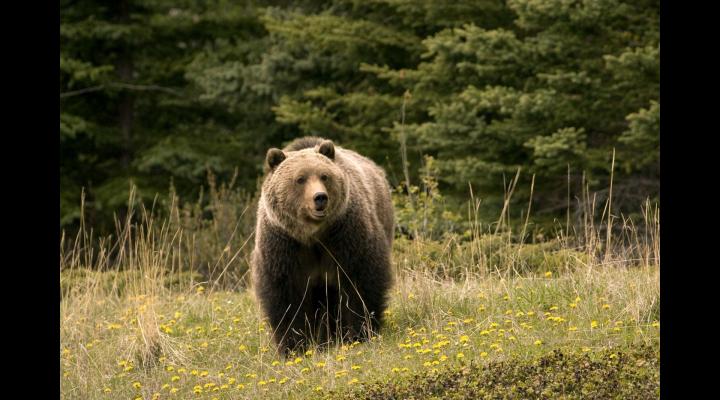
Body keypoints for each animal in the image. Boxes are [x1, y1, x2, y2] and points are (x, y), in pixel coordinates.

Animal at [250, 137, 390, 354]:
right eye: (300, 179)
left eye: (325, 176)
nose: (320, 197)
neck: (312, 235)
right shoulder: (283, 245)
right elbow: (286, 296)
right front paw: (293, 346)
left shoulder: (345, 235)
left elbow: (360, 282)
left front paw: (359, 334)